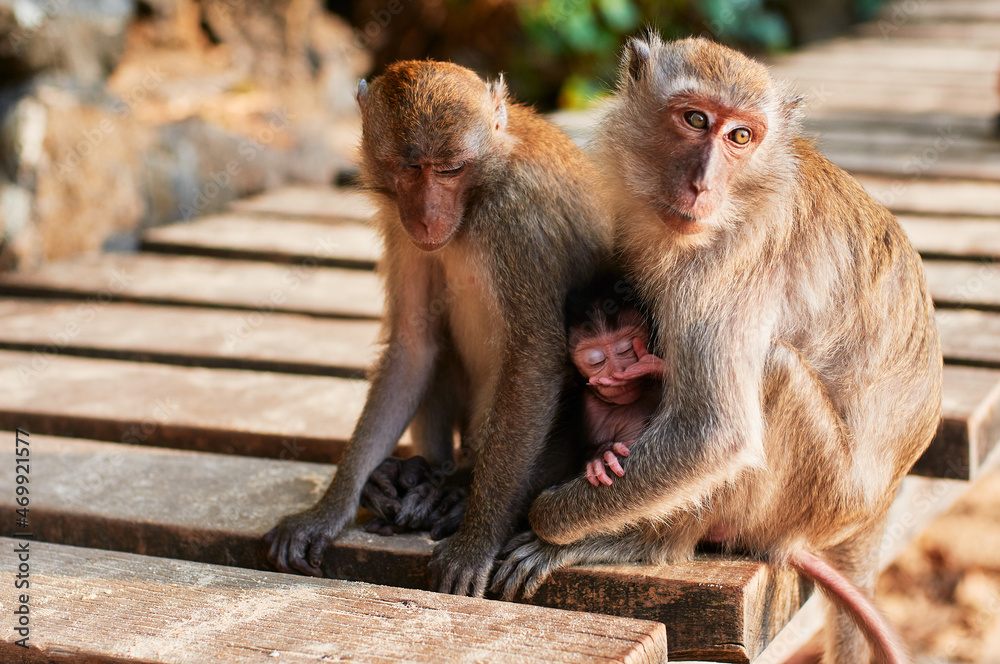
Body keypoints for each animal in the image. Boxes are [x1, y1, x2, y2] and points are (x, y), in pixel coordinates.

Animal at [572, 272, 664, 488]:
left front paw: (649, 365)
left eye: (626, 349)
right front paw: (602, 456)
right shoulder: (588, 407)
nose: (617, 372)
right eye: (596, 361)